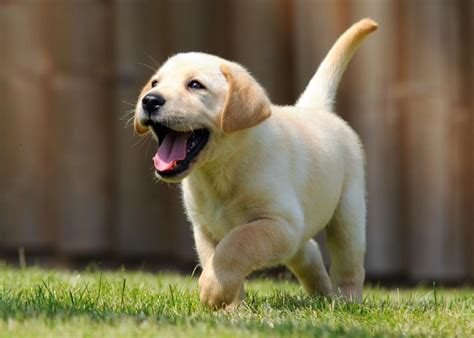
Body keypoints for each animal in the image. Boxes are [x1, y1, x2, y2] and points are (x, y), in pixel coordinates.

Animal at [133, 19, 378, 308]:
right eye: (154, 83)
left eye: (195, 85)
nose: (149, 100)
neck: (222, 169)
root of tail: (315, 109)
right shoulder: (204, 229)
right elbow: (214, 257)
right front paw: (231, 306)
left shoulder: (279, 223)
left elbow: (236, 243)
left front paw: (212, 289)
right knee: (309, 252)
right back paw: (321, 293)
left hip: (348, 214)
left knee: (348, 263)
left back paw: (345, 301)